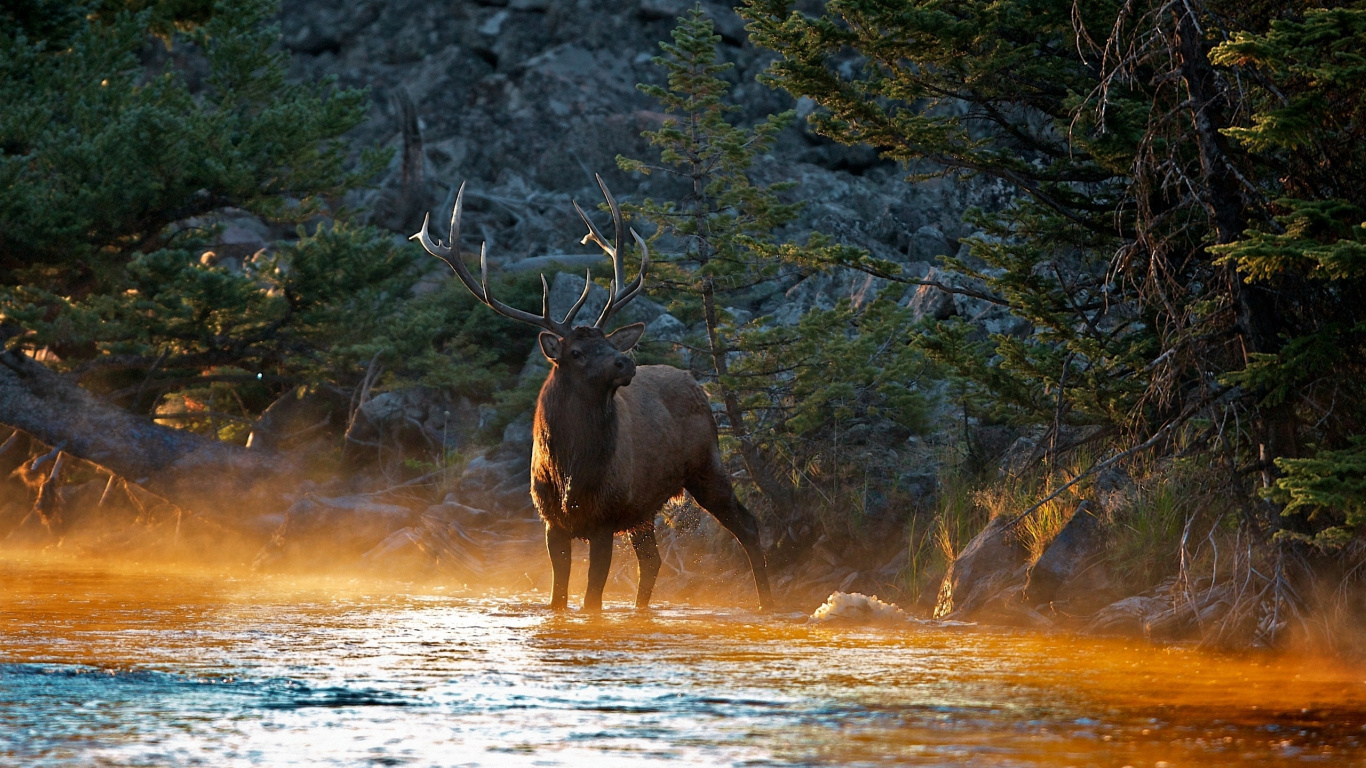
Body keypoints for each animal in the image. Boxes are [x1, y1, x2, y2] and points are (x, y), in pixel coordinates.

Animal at [412, 176, 774, 613]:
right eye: (577, 352)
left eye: (608, 342)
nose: (625, 361)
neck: (571, 470)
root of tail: (696, 384)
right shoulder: (552, 521)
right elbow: (558, 598)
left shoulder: (604, 518)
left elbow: (591, 601)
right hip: (643, 507)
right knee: (652, 561)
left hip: (707, 464)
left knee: (748, 525)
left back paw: (767, 603)